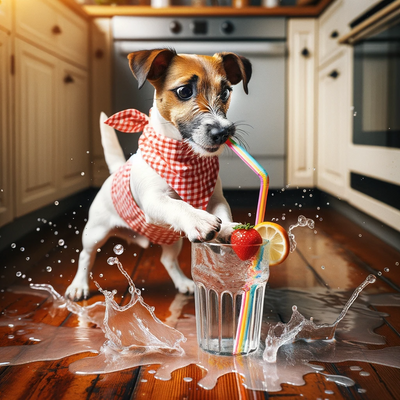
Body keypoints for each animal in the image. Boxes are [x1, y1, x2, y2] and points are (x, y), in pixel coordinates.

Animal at [65, 48, 253, 300]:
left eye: (225, 92)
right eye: (184, 91)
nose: (224, 132)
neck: (186, 161)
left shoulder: (215, 198)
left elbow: (223, 211)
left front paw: (228, 228)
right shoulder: (152, 200)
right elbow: (178, 205)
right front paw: (198, 219)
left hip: (173, 240)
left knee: (167, 259)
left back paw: (183, 283)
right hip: (95, 232)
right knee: (86, 255)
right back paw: (78, 285)